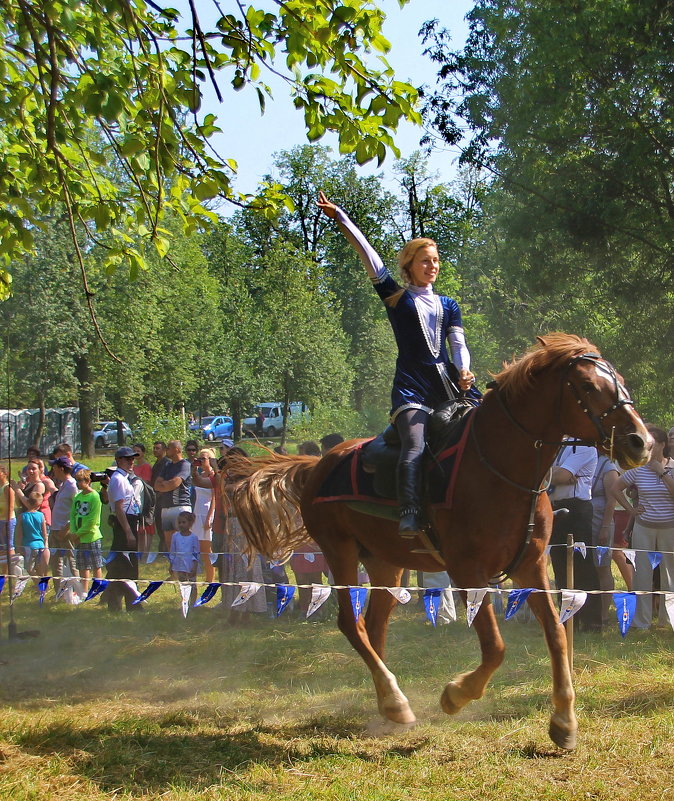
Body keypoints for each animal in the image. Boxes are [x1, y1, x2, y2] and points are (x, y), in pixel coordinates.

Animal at [230, 334, 644, 748]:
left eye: (620, 381)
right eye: (588, 386)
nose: (639, 440)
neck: (500, 467)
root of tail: (318, 465)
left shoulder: (531, 564)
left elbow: (557, 634)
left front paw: (564, 720)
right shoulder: (467, 571)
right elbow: (495, 647)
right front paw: (455, 695)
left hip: (386, 563)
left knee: (374, 627)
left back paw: (387, 707)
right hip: (340, 551)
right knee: (352, 624)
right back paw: (395, 702)